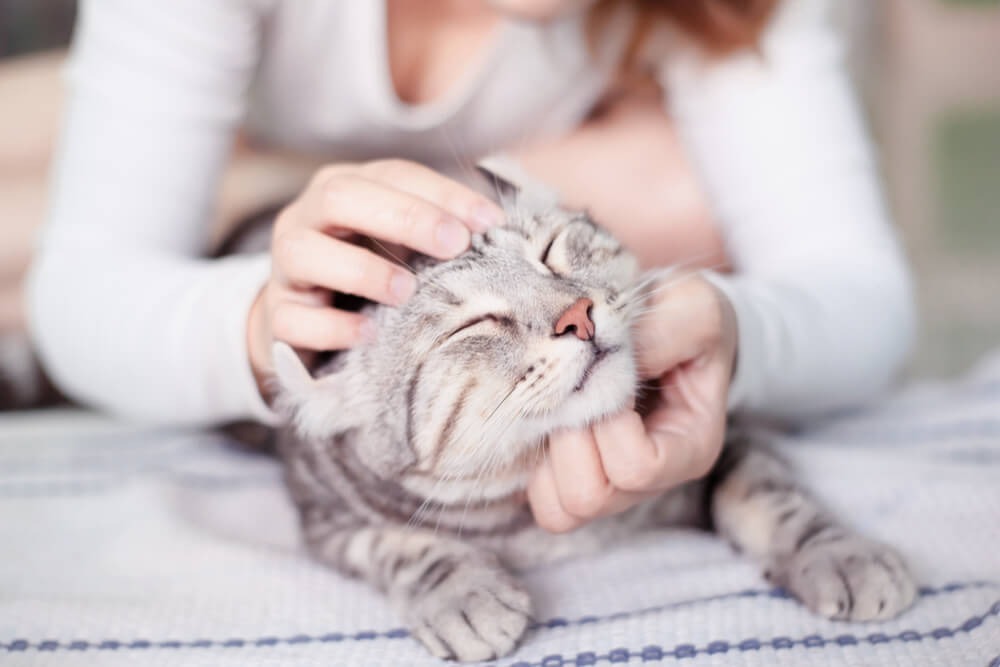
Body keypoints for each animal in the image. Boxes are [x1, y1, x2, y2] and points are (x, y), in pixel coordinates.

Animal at [268, 171, 916, 664]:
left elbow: (769, 494)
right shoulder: (327, 521)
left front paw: (839, 553)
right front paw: (464, 593)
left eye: (552, 251)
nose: (576, 315)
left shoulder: (730, 440)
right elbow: (400, 547)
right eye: (472, 326)